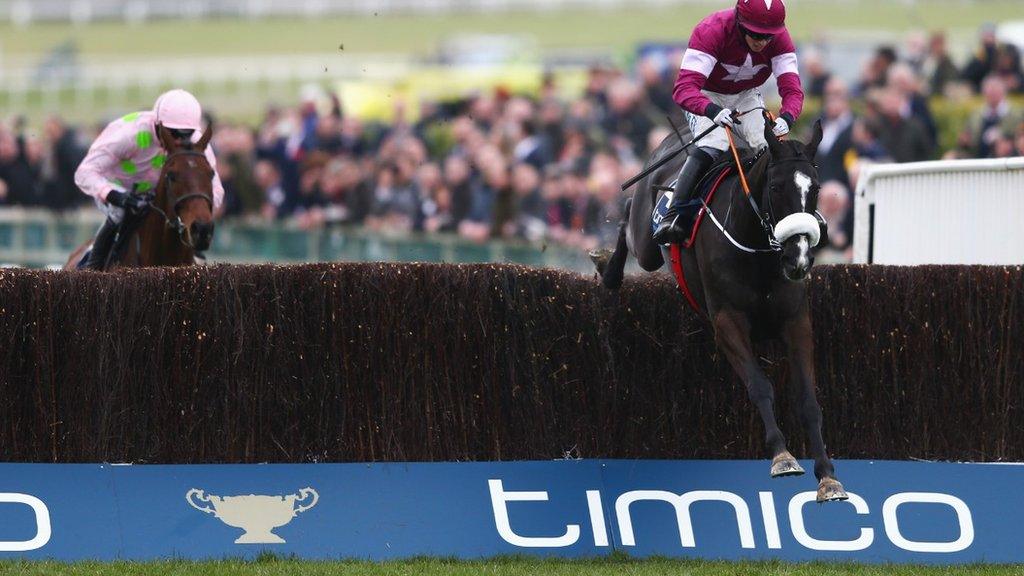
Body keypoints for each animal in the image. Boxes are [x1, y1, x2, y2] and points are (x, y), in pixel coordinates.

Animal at [598, 112, 843, 498]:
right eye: (776, 188)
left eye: (815, 189)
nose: (799, 259)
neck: (758, 248)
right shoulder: (728, 322)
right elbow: (760, 386)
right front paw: (783, 457)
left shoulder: (796, 322)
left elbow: (807, 399)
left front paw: (828, 475)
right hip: (647, 244)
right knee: (627, 220)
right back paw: (606, 270)